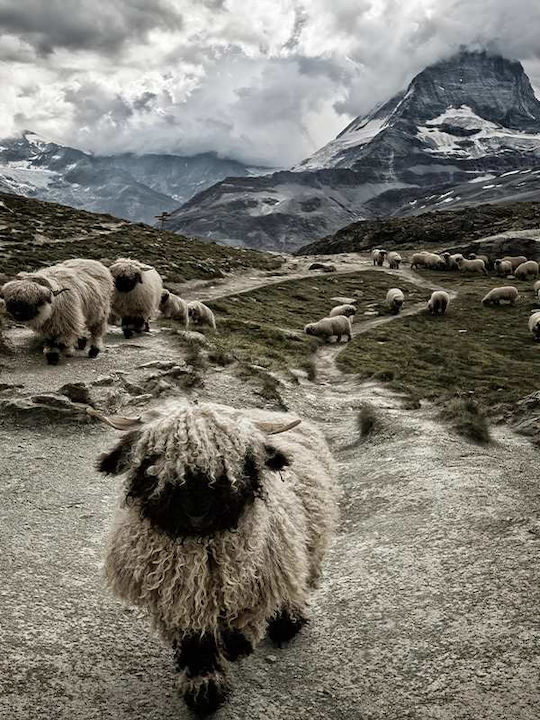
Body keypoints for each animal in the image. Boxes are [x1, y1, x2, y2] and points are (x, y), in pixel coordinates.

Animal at [95, 401, 338, 714]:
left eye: (238, 459)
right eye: (153, 458)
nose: (197, 508)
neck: (201, 548)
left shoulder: (252, 581)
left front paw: (237, 646)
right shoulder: (180, 598)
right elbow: (197, 645)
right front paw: (204, 691)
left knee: (296, 579)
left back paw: (288, 620)